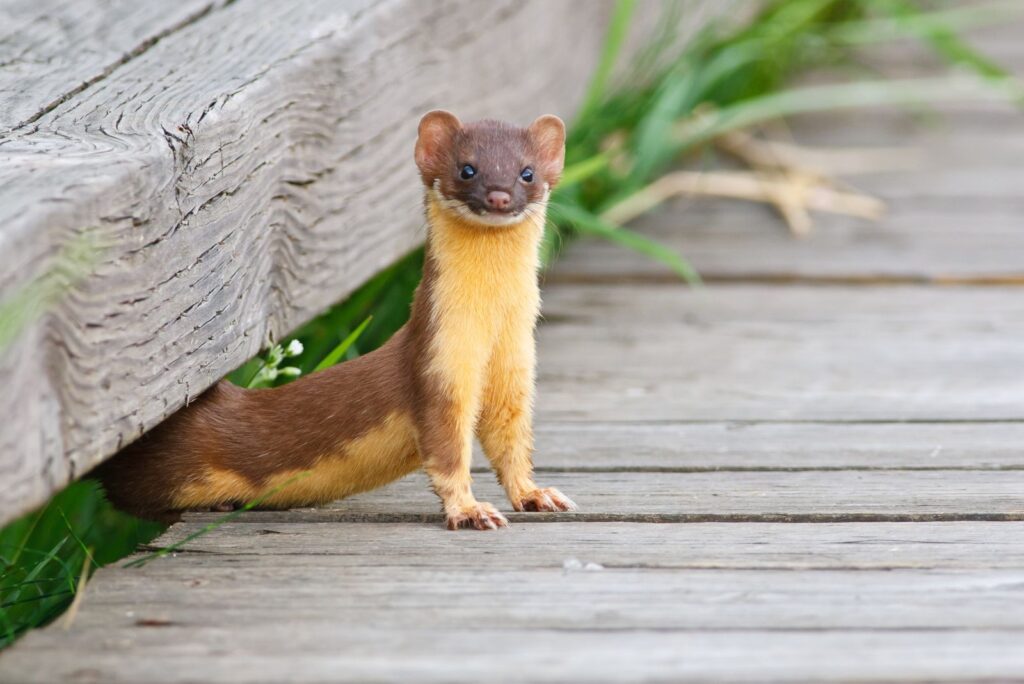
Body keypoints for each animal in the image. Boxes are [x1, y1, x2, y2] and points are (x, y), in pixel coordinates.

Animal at [93, 111, 577, 528]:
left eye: (527, 172)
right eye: (467, 169)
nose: (499, 195)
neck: (490, 327)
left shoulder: (515, 364)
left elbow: (510, 440)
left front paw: (535, 494)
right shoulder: (437, 362)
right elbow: (447, 452)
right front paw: (471, 511)